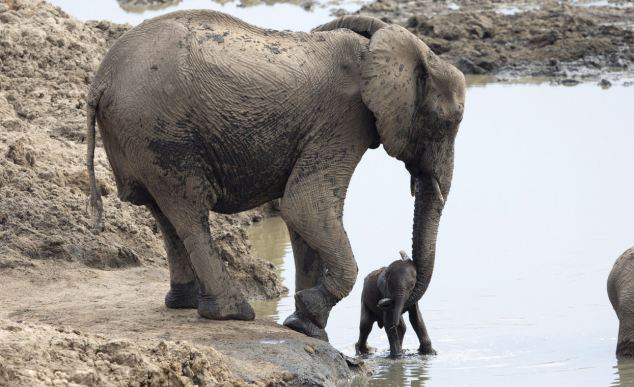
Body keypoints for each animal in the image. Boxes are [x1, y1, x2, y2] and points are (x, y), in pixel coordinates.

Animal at [85, 10, 464, 342]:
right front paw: (307, 313)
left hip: (139, 134)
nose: (397, 265)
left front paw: (307, 326)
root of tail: (100, 81)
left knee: (164, 214)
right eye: (448, 123)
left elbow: (300, 218)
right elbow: (305, 206)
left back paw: (185, 304)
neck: (381, 46)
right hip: (163, 132)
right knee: (189, 211)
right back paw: (232, 312)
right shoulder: (344, 119)